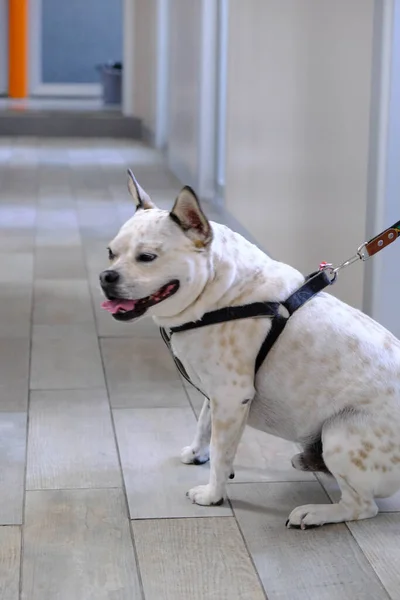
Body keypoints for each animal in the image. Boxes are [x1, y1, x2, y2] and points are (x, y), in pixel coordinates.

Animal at [100, 170, 400, 528]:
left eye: (147, 257)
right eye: (110, 253)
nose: (106, 276)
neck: (222, 292)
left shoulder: (231, 396)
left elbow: (221, 451)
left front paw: (212, 494)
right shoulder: (216, 393)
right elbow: (205, 425)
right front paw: (197, 453)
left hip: (340, 434)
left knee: (361, 506)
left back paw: (314, 513)